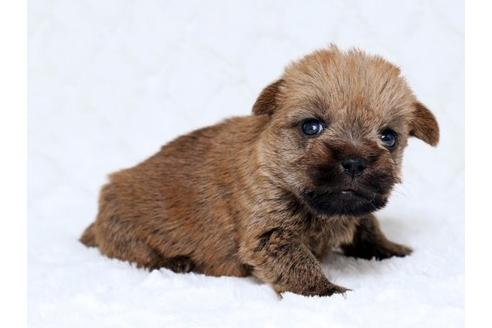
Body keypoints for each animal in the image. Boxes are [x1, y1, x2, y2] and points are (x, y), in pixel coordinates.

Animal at [80, 46, 438, 298]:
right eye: (311, 126)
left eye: (388, 137)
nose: (353, 162)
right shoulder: (271, 236)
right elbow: (299, 265)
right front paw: (328, 292)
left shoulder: (356, 208)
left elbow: (367, 224)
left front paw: (389, 248)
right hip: (125, 230)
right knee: (133, 253)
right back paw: (175, 262)